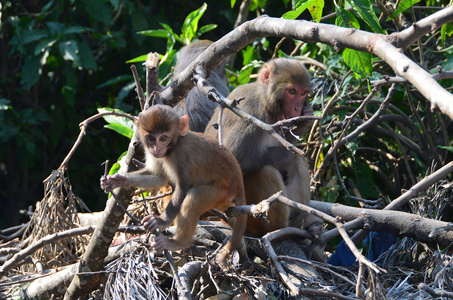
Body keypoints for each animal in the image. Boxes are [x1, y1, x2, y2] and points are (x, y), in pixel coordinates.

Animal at [100, 104, 245, 264]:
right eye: (151, 138)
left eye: (163, 138)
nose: (157, 149)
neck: (174, 146)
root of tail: (239, 185)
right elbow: (160, 177)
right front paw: (118, 180)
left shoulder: (182, 155)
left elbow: (183, 187)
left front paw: (161, 221)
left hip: (222, 194)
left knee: (194, 197)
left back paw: (179, 242)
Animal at [203, 57, 324, 241]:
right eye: (292, 91)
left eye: (303, 93)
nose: (297, 108)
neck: (267, 104)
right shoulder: (249, 111)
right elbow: (228, 162)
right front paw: (283, 156)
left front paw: (305, 118)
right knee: (266, 171)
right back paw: (282, 229)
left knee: (299, 161)